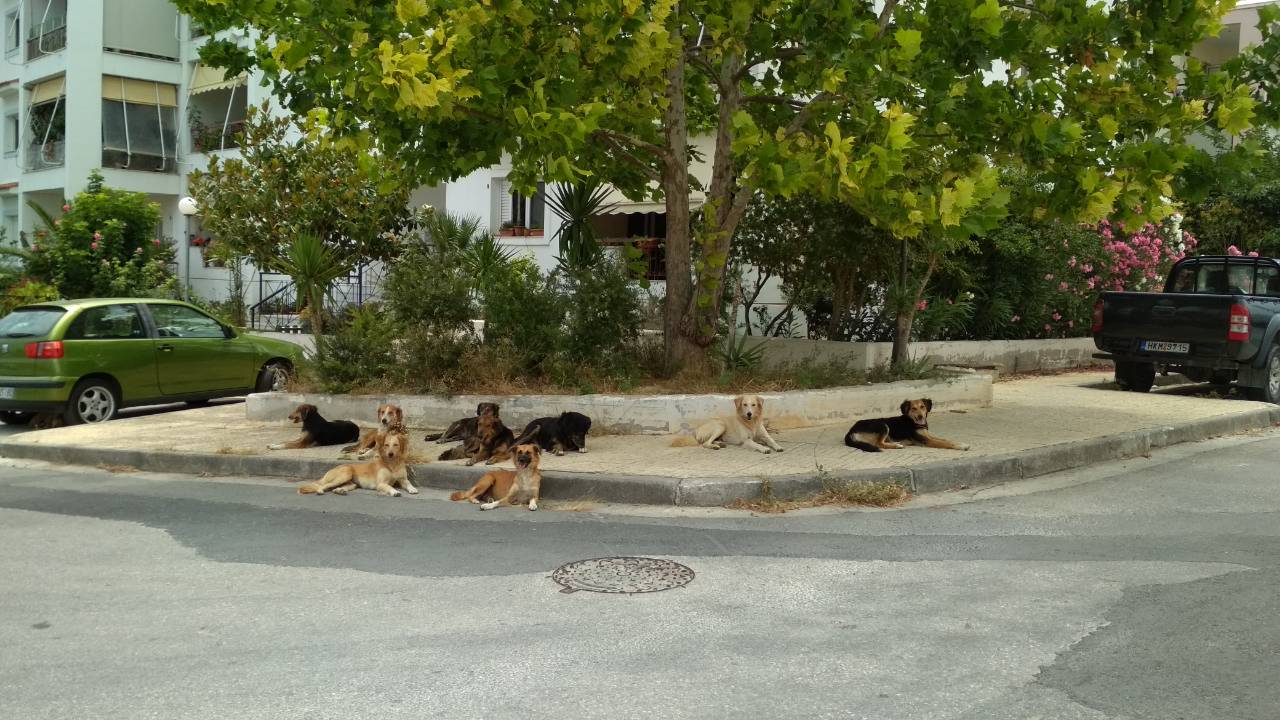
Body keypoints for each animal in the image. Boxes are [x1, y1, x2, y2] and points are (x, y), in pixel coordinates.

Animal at [839, 394, 967, 450]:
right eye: (913, 408)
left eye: (922, 407)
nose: (920, 416)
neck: (913, 422)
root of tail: (851, 430)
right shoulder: (926, 440)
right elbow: (944, 443)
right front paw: (961, 446)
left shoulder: (928, 436)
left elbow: (945, 439)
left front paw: (960, 443)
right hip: (882, 425)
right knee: (879, 443)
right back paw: (897, 445)